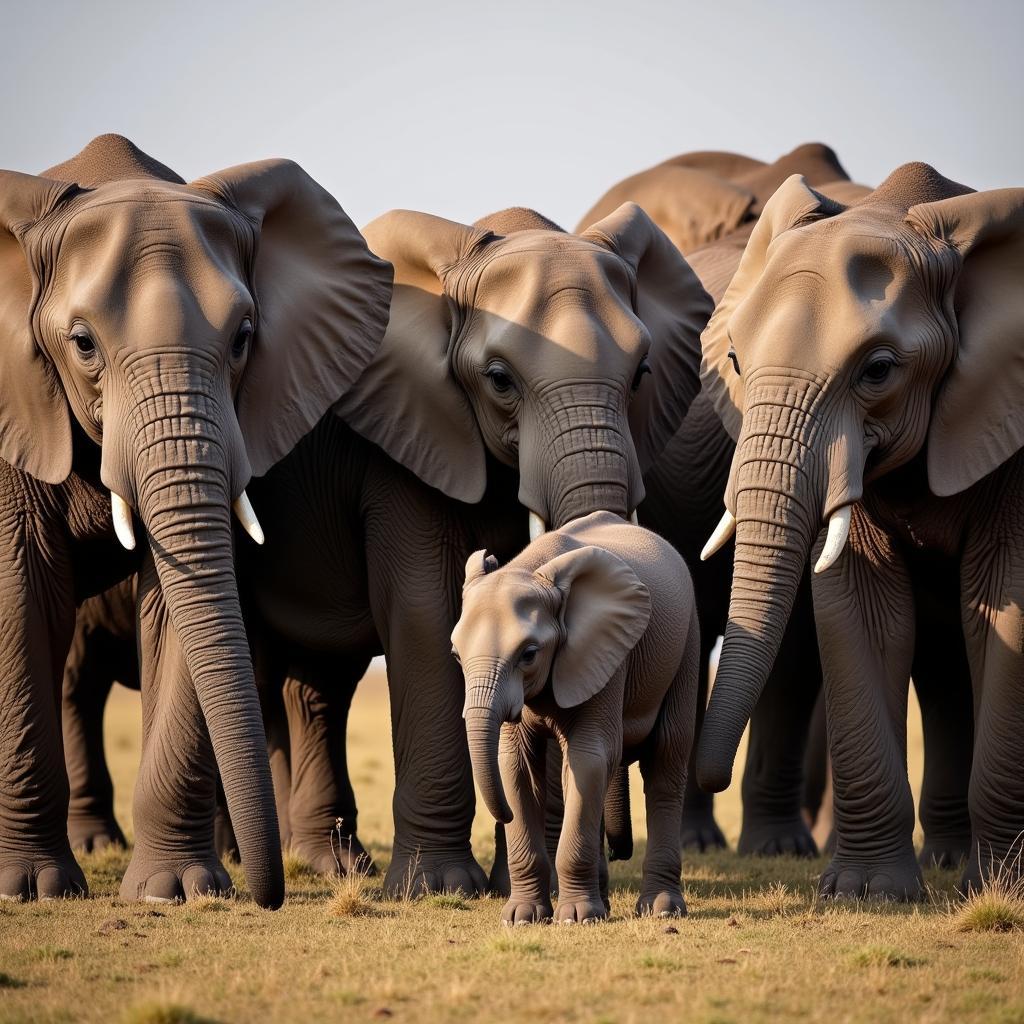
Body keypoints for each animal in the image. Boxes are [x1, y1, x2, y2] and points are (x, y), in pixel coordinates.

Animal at [0, 134, 391, 905]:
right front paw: (30, 888)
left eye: (243, 337)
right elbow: (22, 592)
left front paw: (175, 891)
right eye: (82, 343)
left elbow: (180, 606)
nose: (271, 897)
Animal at [452, 516, 700, 925]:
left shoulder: (606, 652)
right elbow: (516, 765)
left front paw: (576, 918)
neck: (532, 569)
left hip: (686, 643)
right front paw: (522, 917)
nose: (502, 816)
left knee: (665, 761)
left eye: (529, 654)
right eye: (456, 654)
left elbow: (587, 759)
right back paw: (606, 903)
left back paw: (661, 910)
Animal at [696, 161, 1024, 897]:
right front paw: (869, 891)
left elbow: (1005, 604)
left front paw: (1001, 890)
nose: (709, 776)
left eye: (877, 371)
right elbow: (866, 615)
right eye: (735, 362)